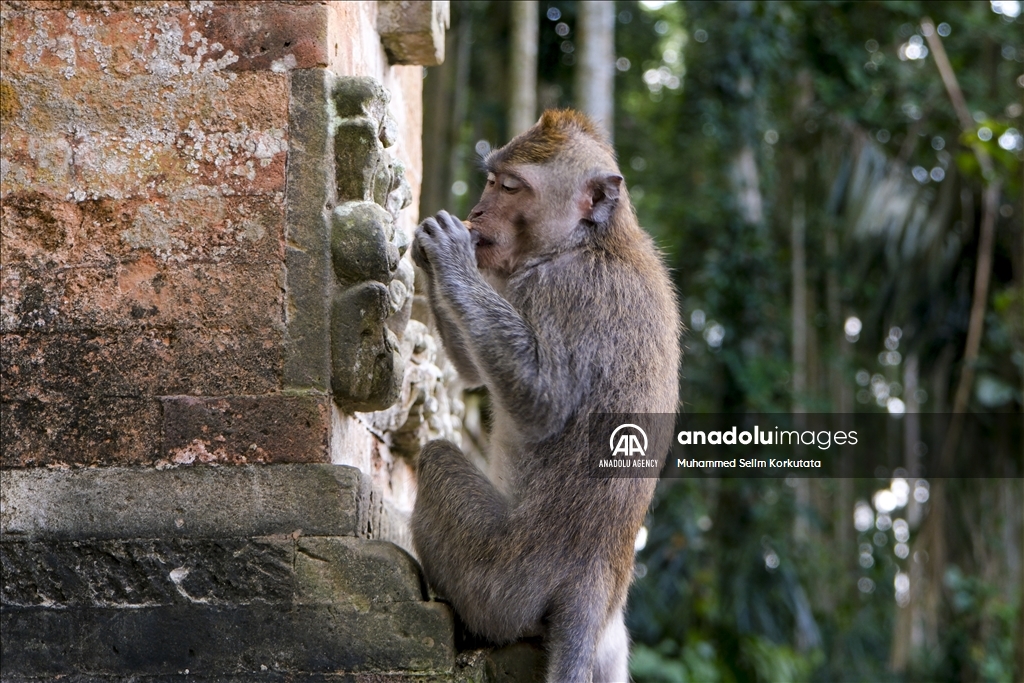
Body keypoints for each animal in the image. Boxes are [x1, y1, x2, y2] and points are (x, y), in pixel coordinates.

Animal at [407, 109, 679, 679]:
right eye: (490, 181)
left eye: (510, 187)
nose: (476, 211)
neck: (589, 242)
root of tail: (593, 579)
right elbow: (473, 374)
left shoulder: (566, 289)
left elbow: (541, 404)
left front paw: (450, 256)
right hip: (608, 645)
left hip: (498, 582)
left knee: (439, 461)